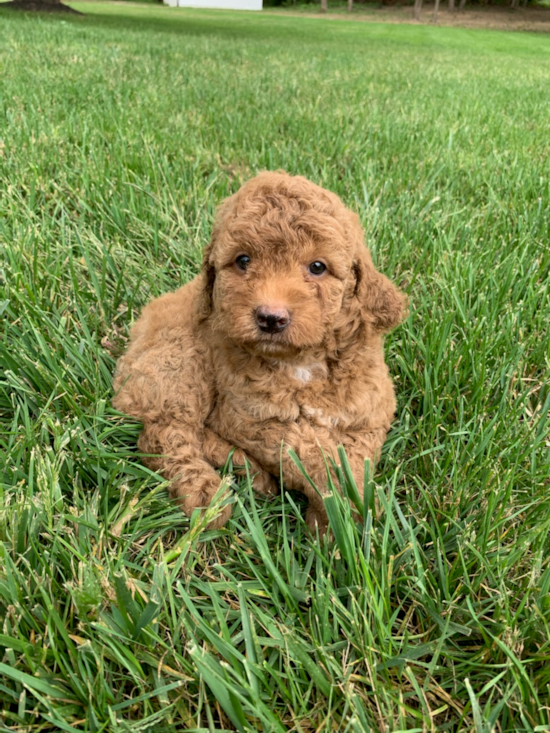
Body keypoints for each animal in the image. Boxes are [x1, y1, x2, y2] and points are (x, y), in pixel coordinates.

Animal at [114, 169, 408, 528]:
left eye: (318, 267)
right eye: (243, 260)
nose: (270, 317)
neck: (302, 362)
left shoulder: (370, 413)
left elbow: (354, 454)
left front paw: (338, 517)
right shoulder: (248, 417)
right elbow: (306, 450)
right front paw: (340, 507)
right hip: (179, 362)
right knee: (166, 434)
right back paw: (208, 494)